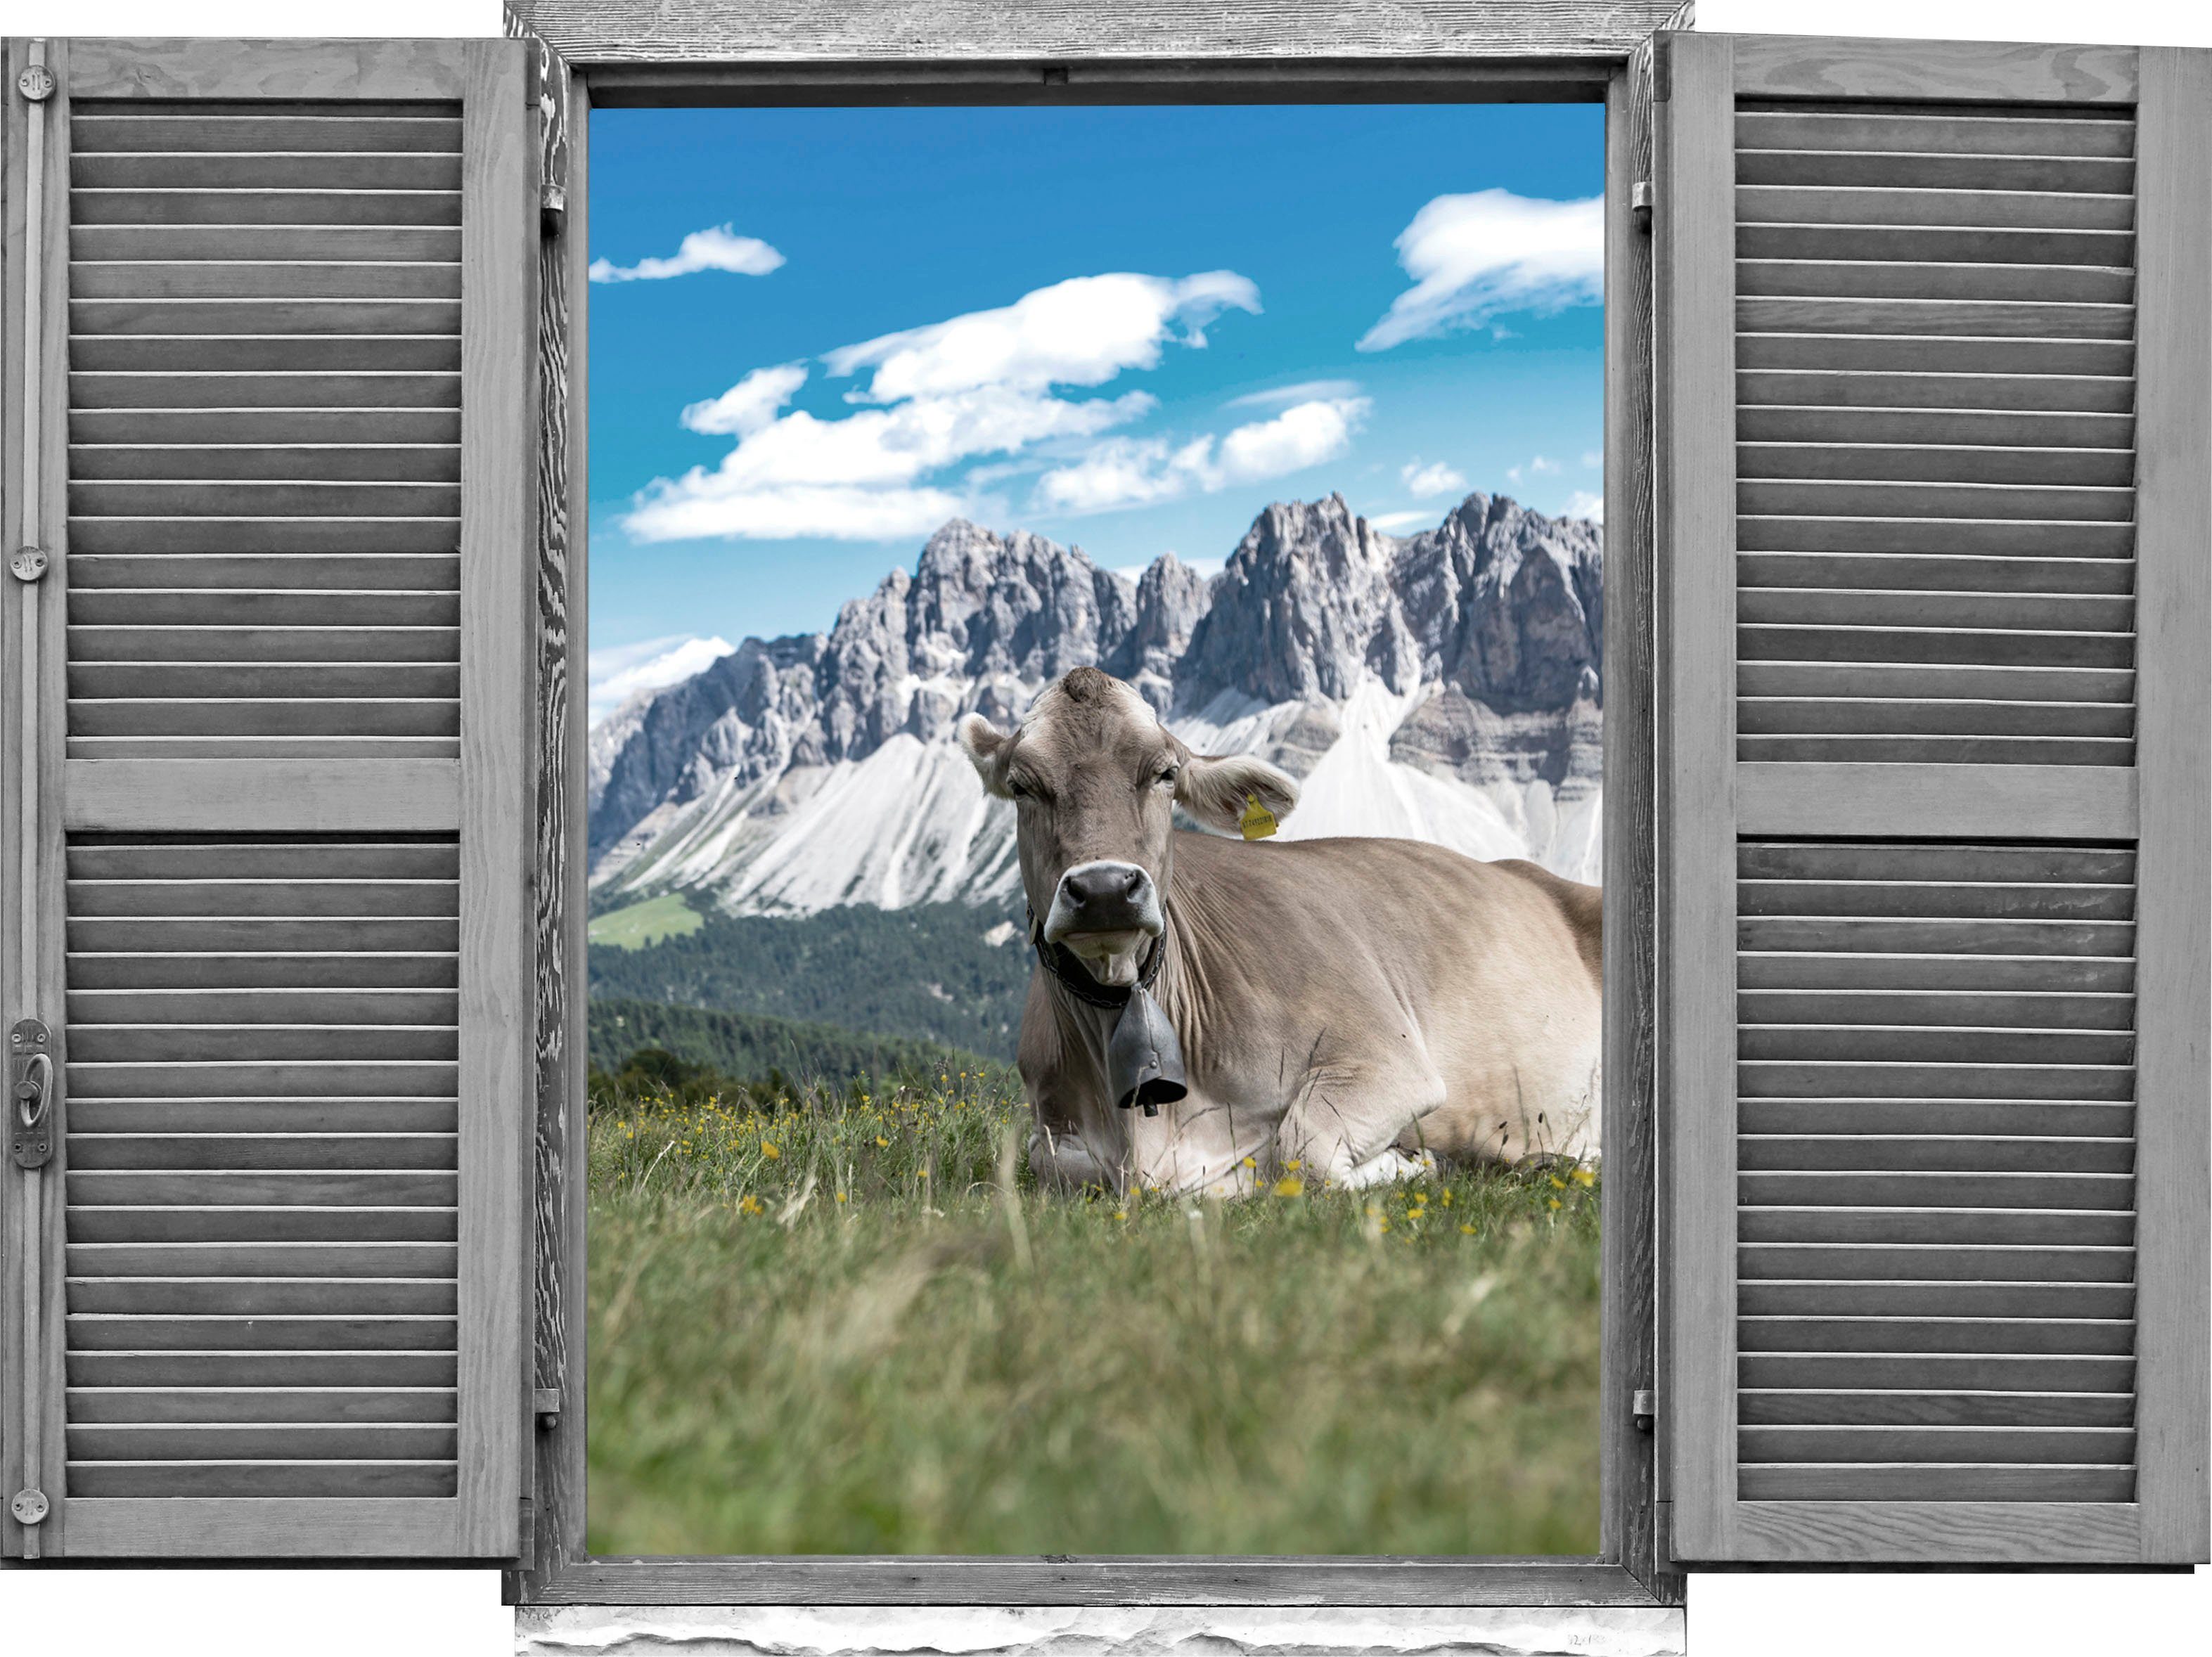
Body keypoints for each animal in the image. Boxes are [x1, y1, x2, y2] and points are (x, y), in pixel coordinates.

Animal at [957, 665, 1602, 1198]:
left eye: (1165, 772)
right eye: (1022, 785)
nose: (1106, 888)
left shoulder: (1388, 1058)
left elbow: (1303, 1149)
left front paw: (1415, 1161)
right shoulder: (1053, 1124)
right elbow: (1048, 1162)